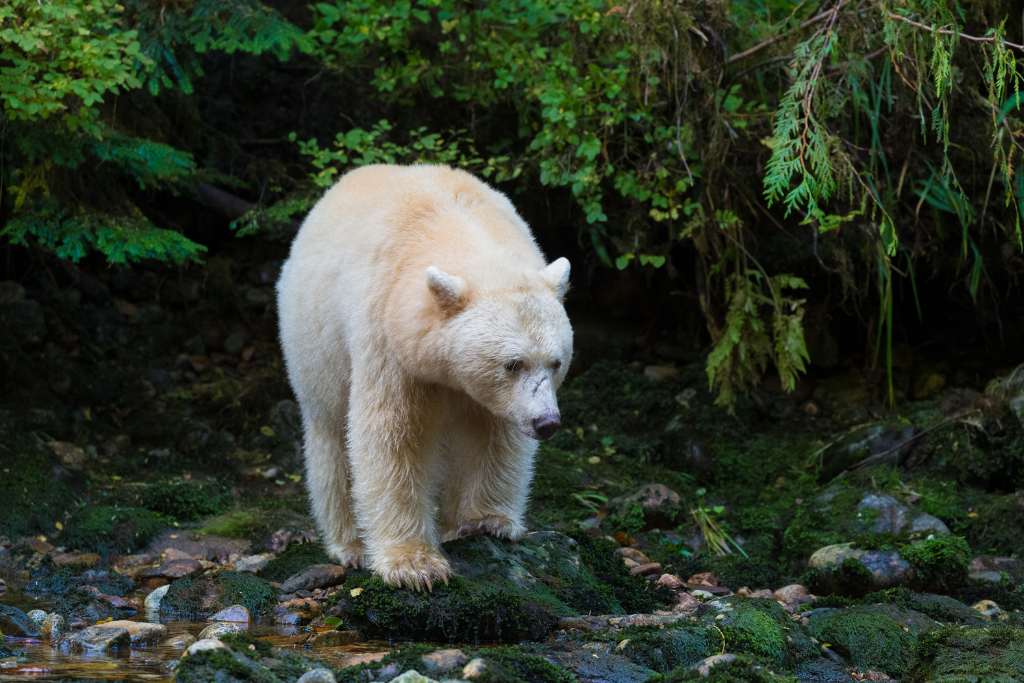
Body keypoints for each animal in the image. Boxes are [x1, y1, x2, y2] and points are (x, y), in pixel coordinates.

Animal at [276, 162, 573, 589]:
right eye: (512, 363)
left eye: (556, 362)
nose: (546, 422)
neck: (455, 227)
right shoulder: (388, 338)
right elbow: (394, 437)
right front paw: (414, 564)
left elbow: (494, 435)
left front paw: (487, 521)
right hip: (314, 341)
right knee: (330, 432)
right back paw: (349, 544)